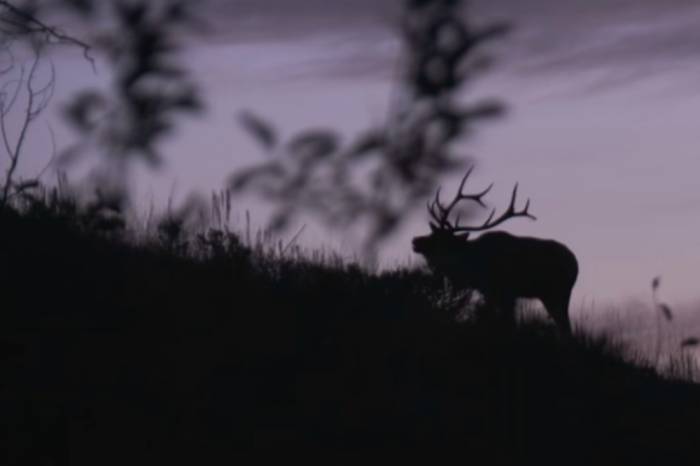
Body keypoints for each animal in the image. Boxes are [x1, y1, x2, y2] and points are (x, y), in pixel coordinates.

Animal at [412, 167, 579, 336]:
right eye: (432, 232)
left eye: (439, 238)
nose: (415, 241)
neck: (471, 270)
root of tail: (575, 263)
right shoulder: (493, 293)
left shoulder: (503, 291)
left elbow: (507, 322)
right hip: (550, 296)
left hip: (559, 291)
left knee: (566, 327)